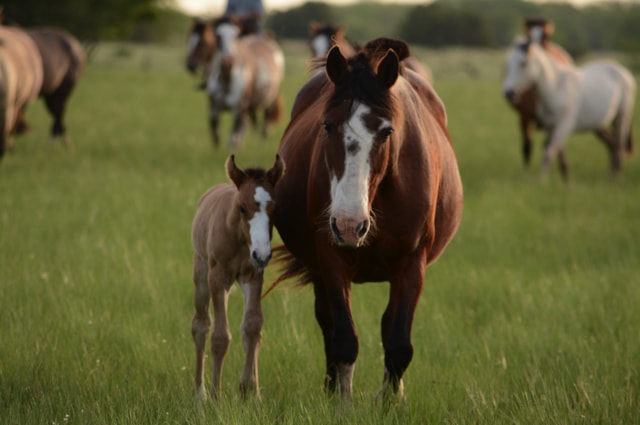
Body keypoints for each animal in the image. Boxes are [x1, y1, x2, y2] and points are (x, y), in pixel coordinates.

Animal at [191, 154, 285, 401]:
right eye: (243, 207)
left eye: (275, 208)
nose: (262, 254)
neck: (239, 237)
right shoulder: (217, 279)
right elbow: (220, 336)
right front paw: (215, 396)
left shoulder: (253, 276)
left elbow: (252, 327)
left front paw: (250, 391)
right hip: (202, 275)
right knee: (200, 325)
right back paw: (200, 392)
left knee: (246, 329)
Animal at [203, 16, 284, 149]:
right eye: (218, 36)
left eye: (236, 36)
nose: (228, 60)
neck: (227, 80)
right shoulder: (213, 108)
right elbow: (216, 135)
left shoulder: (239, 110)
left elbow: (233, 139)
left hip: (270, 101)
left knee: (264, 127)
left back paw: (260, 147)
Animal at [267, 38, 463, 401]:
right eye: (327, 126)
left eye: (386, 132)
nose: (349, 224)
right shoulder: (331, 260)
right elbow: (344, 338)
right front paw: (341, 402)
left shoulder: (412, 265)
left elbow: (398, 343)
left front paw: (389, 402)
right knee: (327, 322)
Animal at [503, 39, 636, 180]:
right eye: (508, 64)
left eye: (523, 63)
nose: (508, 93)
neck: (555, 89)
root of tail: (626, 74)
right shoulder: (551, 127)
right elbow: (553, 152)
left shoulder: (564, 125)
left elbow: (549, 153)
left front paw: (541, 181)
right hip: (602, 124)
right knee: (613, 144)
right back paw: (612, 174)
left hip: (622, 117)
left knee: (619, 146)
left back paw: (615, 178)